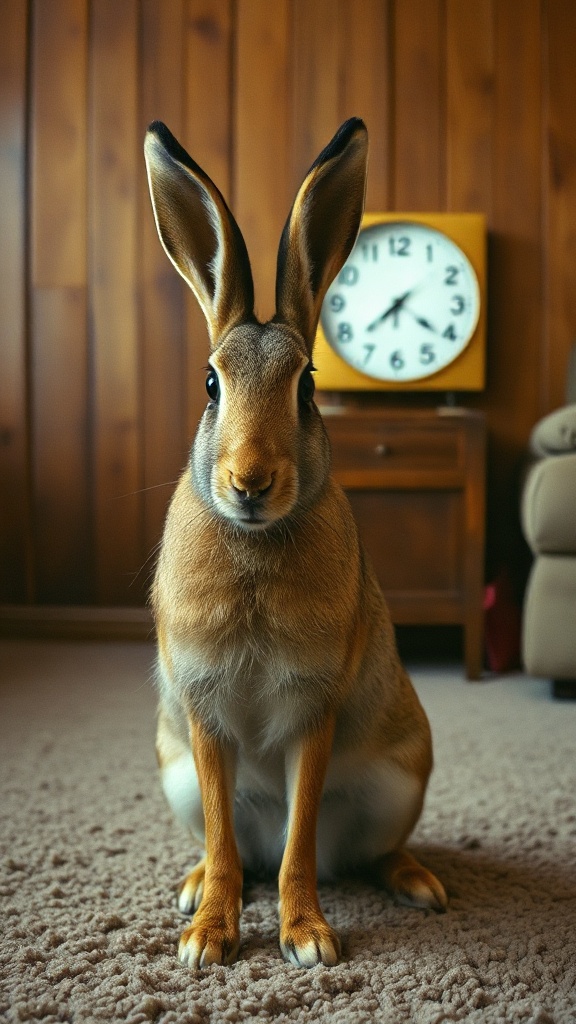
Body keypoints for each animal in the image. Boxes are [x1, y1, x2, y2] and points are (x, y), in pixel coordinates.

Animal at [144, 116, 447, 970]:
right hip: (176, 774)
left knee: (363, 852)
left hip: (401, 779)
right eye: (211, 384)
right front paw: (207, 941)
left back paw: (421, 885)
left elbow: (299, 836)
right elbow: (224, 838)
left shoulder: (315, 710)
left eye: (308, 385)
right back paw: (191, 889)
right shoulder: (205, 720)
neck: (256, 544)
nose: (250, 481)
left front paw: (307, 937)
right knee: (232, 850)